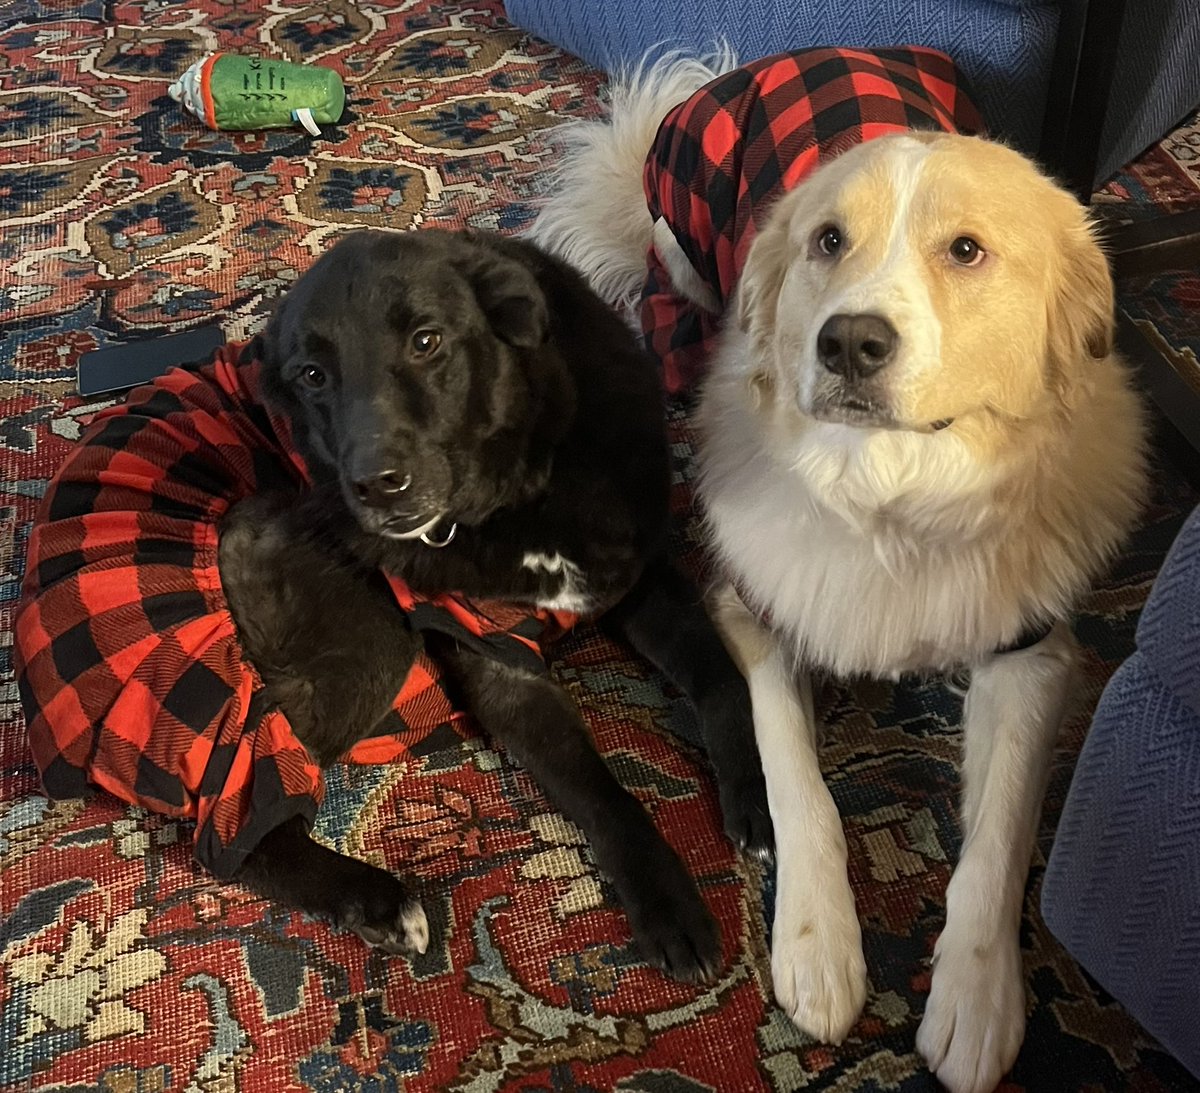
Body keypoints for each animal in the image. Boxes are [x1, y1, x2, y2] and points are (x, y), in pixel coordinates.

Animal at [218, 230, 768, 983]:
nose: (376, 486)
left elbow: (722, 680)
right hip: (367, 643)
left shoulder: (642, 577)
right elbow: (602, 792)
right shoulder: (500, 670)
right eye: (311, 375)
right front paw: (667, 900)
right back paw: (380, 902)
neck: (518, 492)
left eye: (426, 340)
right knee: (242, 826)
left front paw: (760, 792)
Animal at [532, 55, 1142, 1093]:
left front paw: (978, 997)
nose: (850, 341)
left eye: (967, 251)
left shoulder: (1030, 654)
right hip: (678, 257)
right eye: (827, 241)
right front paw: (818, 949)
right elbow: (797, 781)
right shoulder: (755, 609)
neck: (889, 492)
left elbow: (1001, 834)